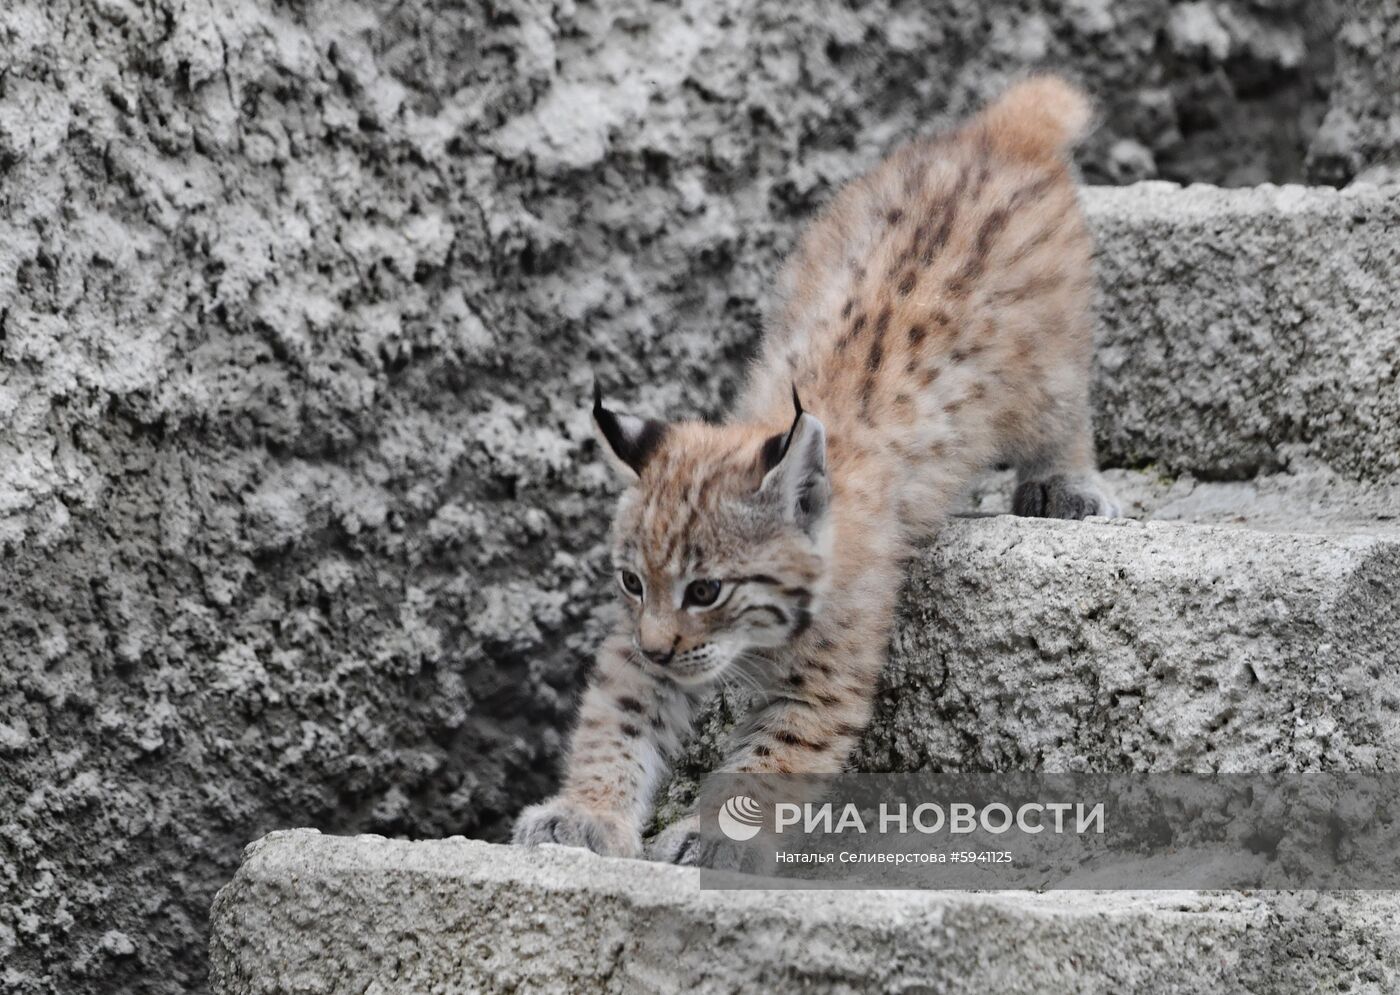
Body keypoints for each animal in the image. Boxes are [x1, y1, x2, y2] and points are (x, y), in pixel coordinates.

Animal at [515, 75, 1114, 862]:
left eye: (706, 590)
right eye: (631, 582)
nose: (661, 647)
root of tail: (999, 133)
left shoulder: (826, 676)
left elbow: (772, 759)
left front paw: (711, 834)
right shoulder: (636, 651)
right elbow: (616, 723)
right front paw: (582, 813)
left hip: (1048, 368)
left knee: (1067, 415)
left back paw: (1065, 484)